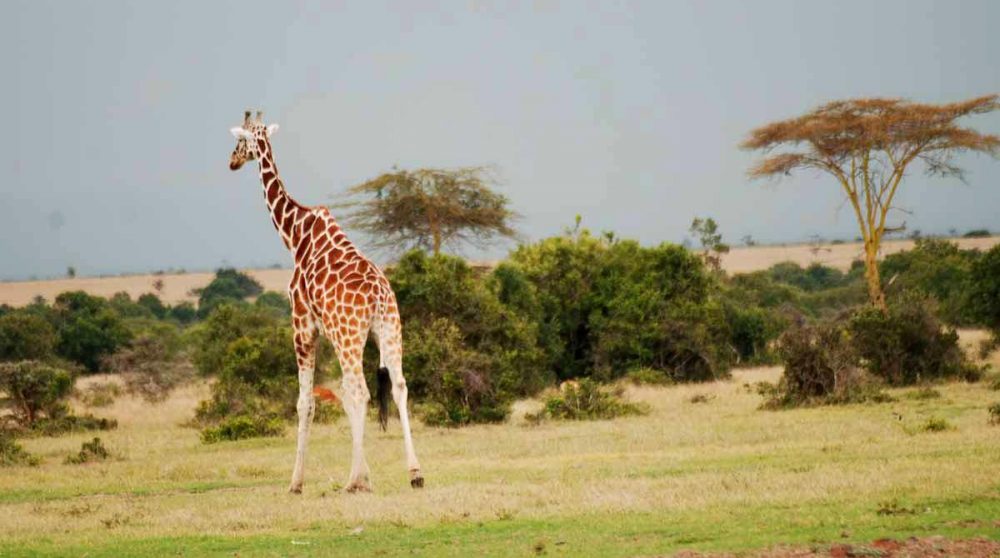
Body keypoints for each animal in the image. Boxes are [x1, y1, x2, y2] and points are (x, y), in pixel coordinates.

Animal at [228, 110, 423, 493]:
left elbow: (306, 402)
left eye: (241, 140)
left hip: (350, 337)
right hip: (389, 331)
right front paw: (367, 473)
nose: (232, 161)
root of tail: (379, 297)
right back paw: (414, 473)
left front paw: (297, 482)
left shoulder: (302, 325)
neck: (295, 236)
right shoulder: (329, 332)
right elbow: (341, 398)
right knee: (398, 386)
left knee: (360, 391)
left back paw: (352, 481)